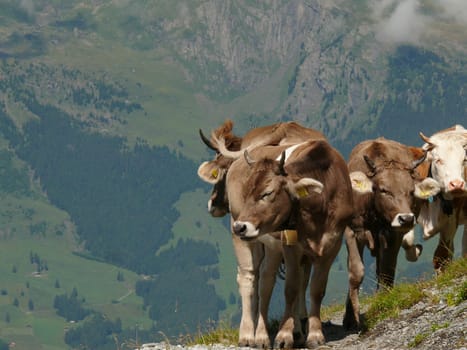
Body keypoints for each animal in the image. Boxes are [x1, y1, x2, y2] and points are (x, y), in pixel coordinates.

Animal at [227, 139, 354, 348]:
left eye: (267, 193)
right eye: (246, 194)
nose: (240, 227)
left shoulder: (331, 246)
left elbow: (316, 289)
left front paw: (313, 334)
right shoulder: (291, 247)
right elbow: (291, 289)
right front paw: (284, 335)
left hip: (271, 247)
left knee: (268, 281)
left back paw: (278, 334)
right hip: (246, 239)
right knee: (250, 279)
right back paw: (250, 335)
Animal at [344, 139, 442, 328]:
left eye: (411, 191)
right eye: (383, 190)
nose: (406, 218)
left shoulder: (392, 234)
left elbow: (387, 270)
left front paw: (383, 303)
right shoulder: (352, 230)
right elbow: (356, 271)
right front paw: (352, 317)